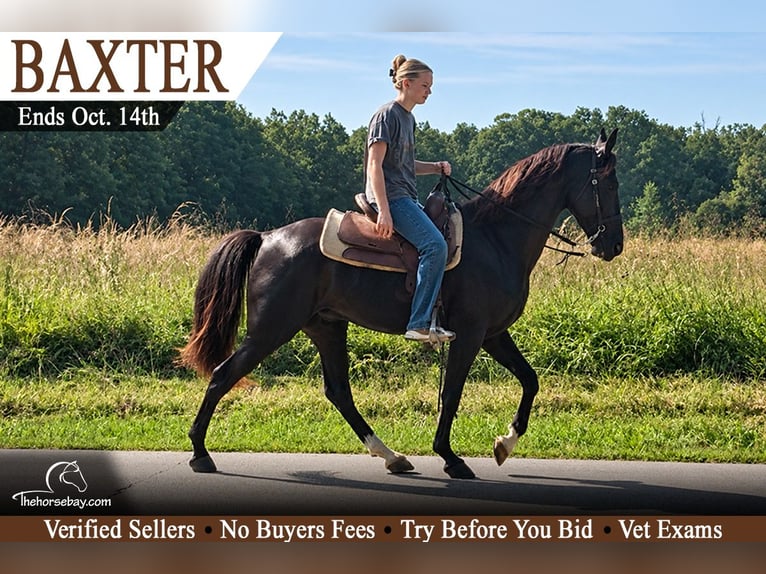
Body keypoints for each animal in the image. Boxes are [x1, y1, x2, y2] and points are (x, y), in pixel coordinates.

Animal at [180, 128, 623, 480]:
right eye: (609, 183)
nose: (614, 245)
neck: (496, 237)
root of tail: (267, 237)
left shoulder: (494, 333)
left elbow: (529, 380)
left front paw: (505, 443)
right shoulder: (470, 333)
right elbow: (453, 393)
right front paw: (450, 457)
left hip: (326, 326)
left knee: (338, 391)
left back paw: (391, 455)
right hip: (271, 329)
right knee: (222, 375)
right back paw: (200, 453)